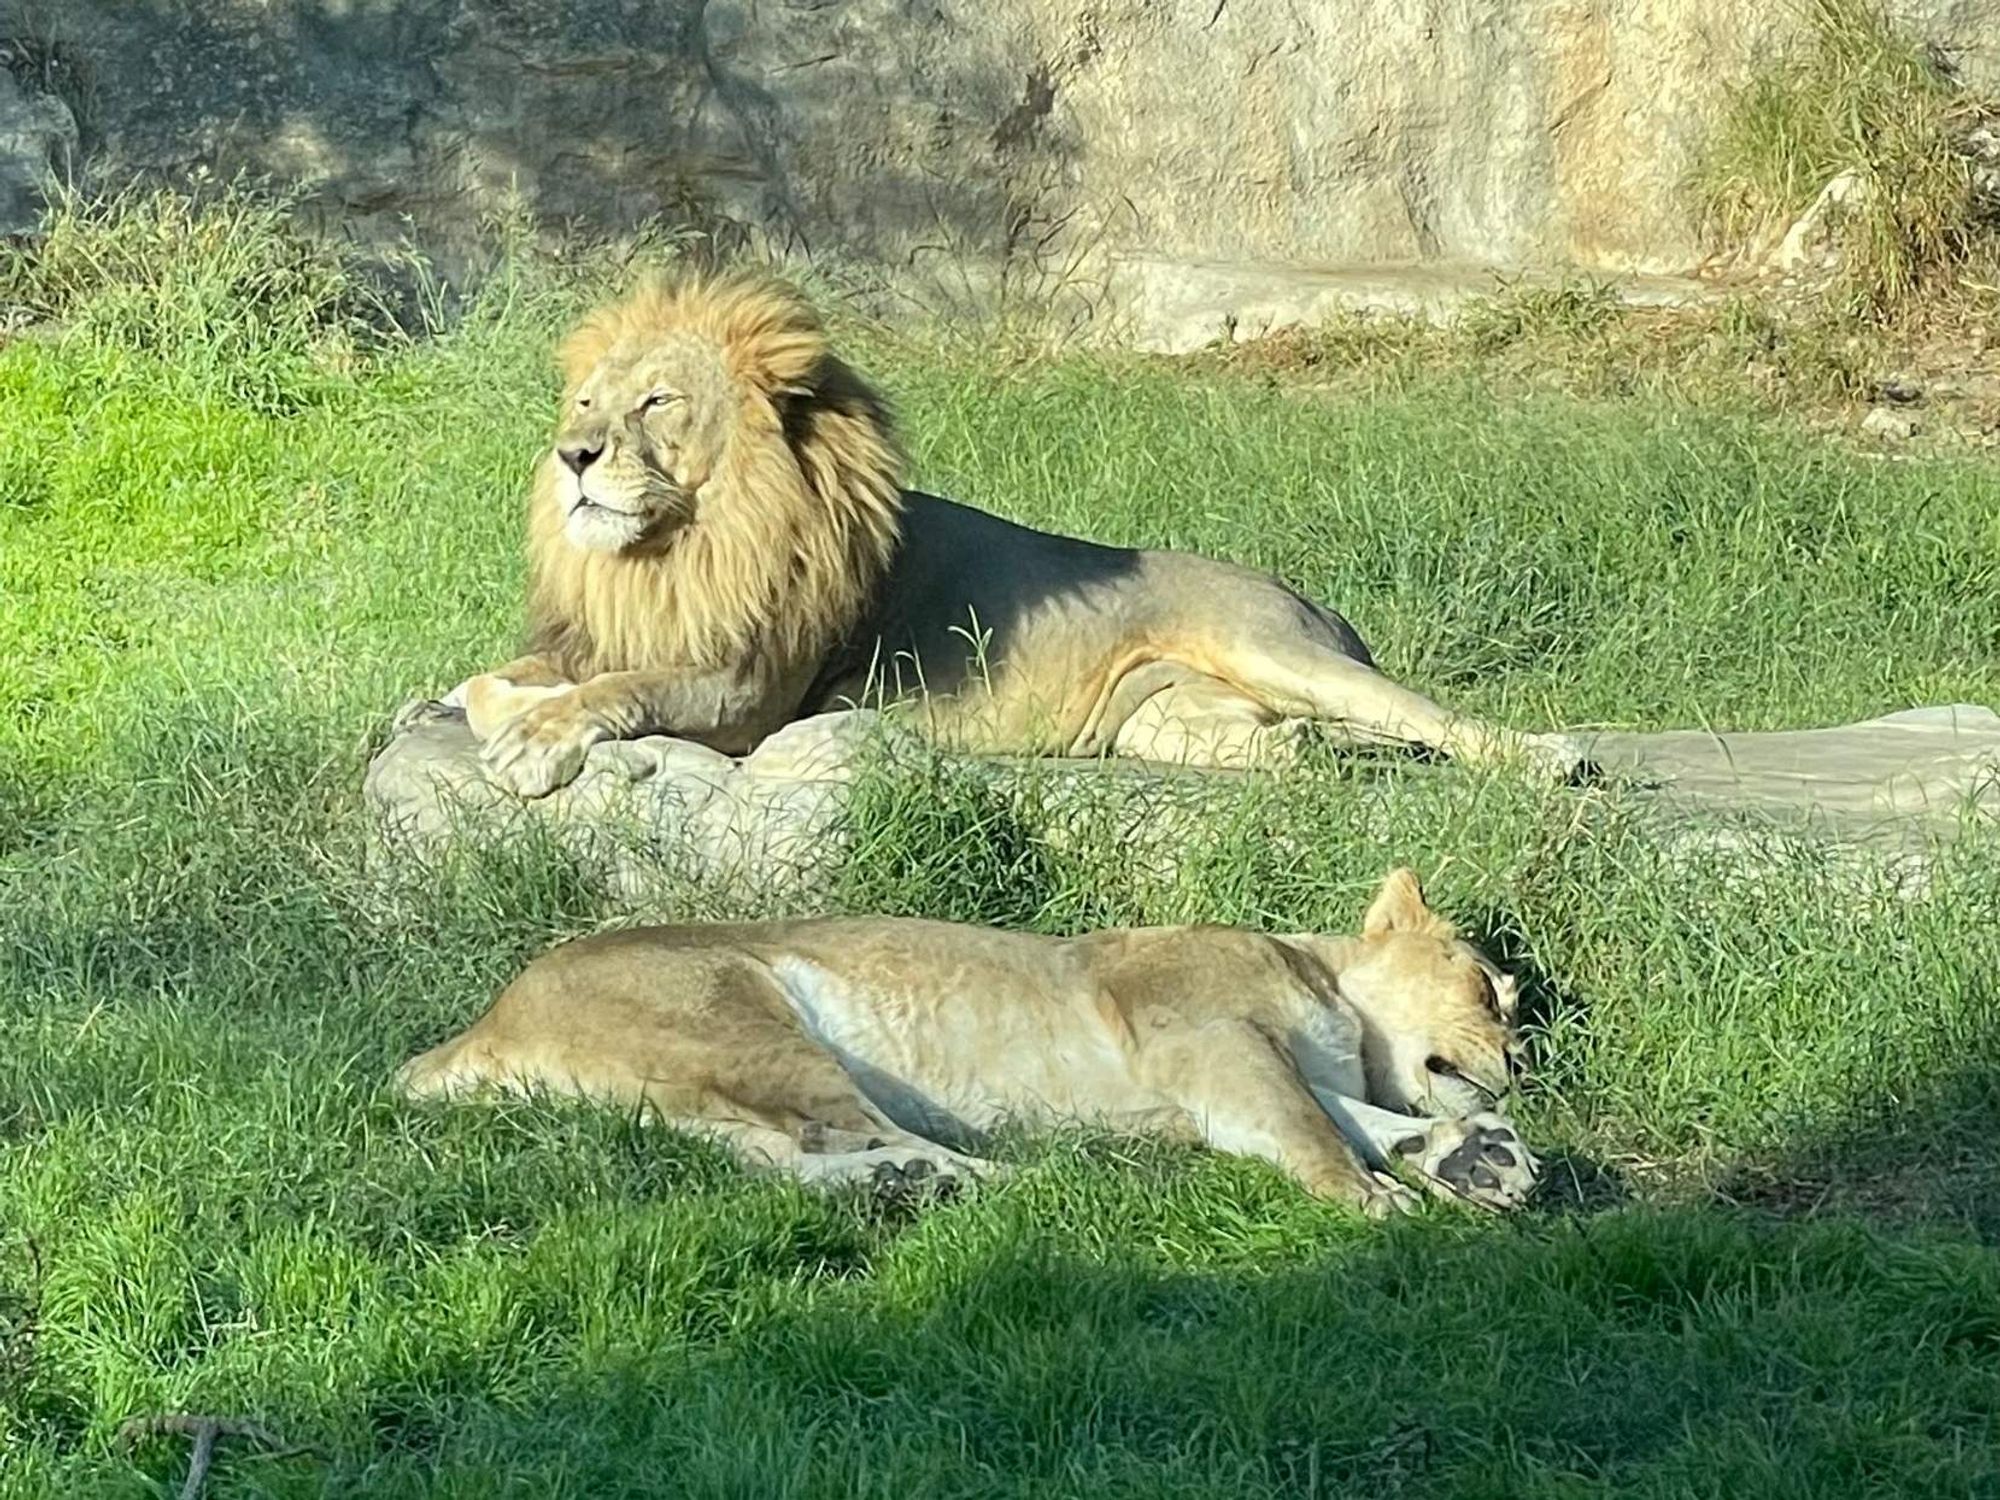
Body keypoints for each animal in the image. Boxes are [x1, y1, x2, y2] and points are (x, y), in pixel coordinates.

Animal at [396, 868, 1539, 1218]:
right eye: (1490, 988)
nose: (1520, 1063)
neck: (1329, 992)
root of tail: (482, 1021)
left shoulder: (1246, 1065)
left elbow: (1363, 1114)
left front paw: (1472, 1158)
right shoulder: (1211, 1039)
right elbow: (1312, 1125)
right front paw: (1382, 1199)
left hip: (681, 1093)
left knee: (773, 1155)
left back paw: (903, 1185)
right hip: (746, 1014)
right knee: (849, 1134)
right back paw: (990, 1177)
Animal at [455, 269, 1584, 798]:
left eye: (655, 402)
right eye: (586, 401)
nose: (573, 456)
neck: (673, 549)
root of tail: (1312, 600)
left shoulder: (747, 691)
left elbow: (620, 689)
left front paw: (534, 741)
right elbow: (482, 681)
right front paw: (510, 706)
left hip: (1270, 646)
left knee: (1436, 720)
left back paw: (1552, 760)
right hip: (1163, 721)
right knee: (1322, 744)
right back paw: (1300, 751)